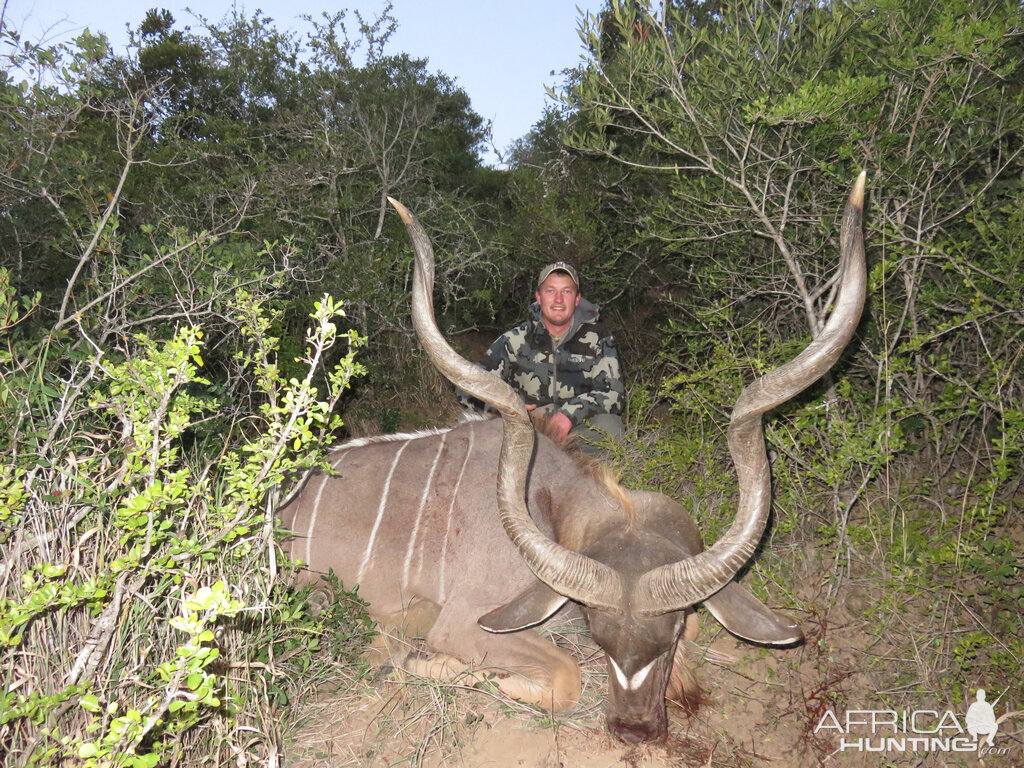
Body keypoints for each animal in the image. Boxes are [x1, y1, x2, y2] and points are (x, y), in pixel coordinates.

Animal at [280, 176, 864, 745]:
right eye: (597, 634)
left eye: (672, 632)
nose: (633, 729)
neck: (550, 502)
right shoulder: (466, 622)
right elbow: (565, 675)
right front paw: (438, 668)